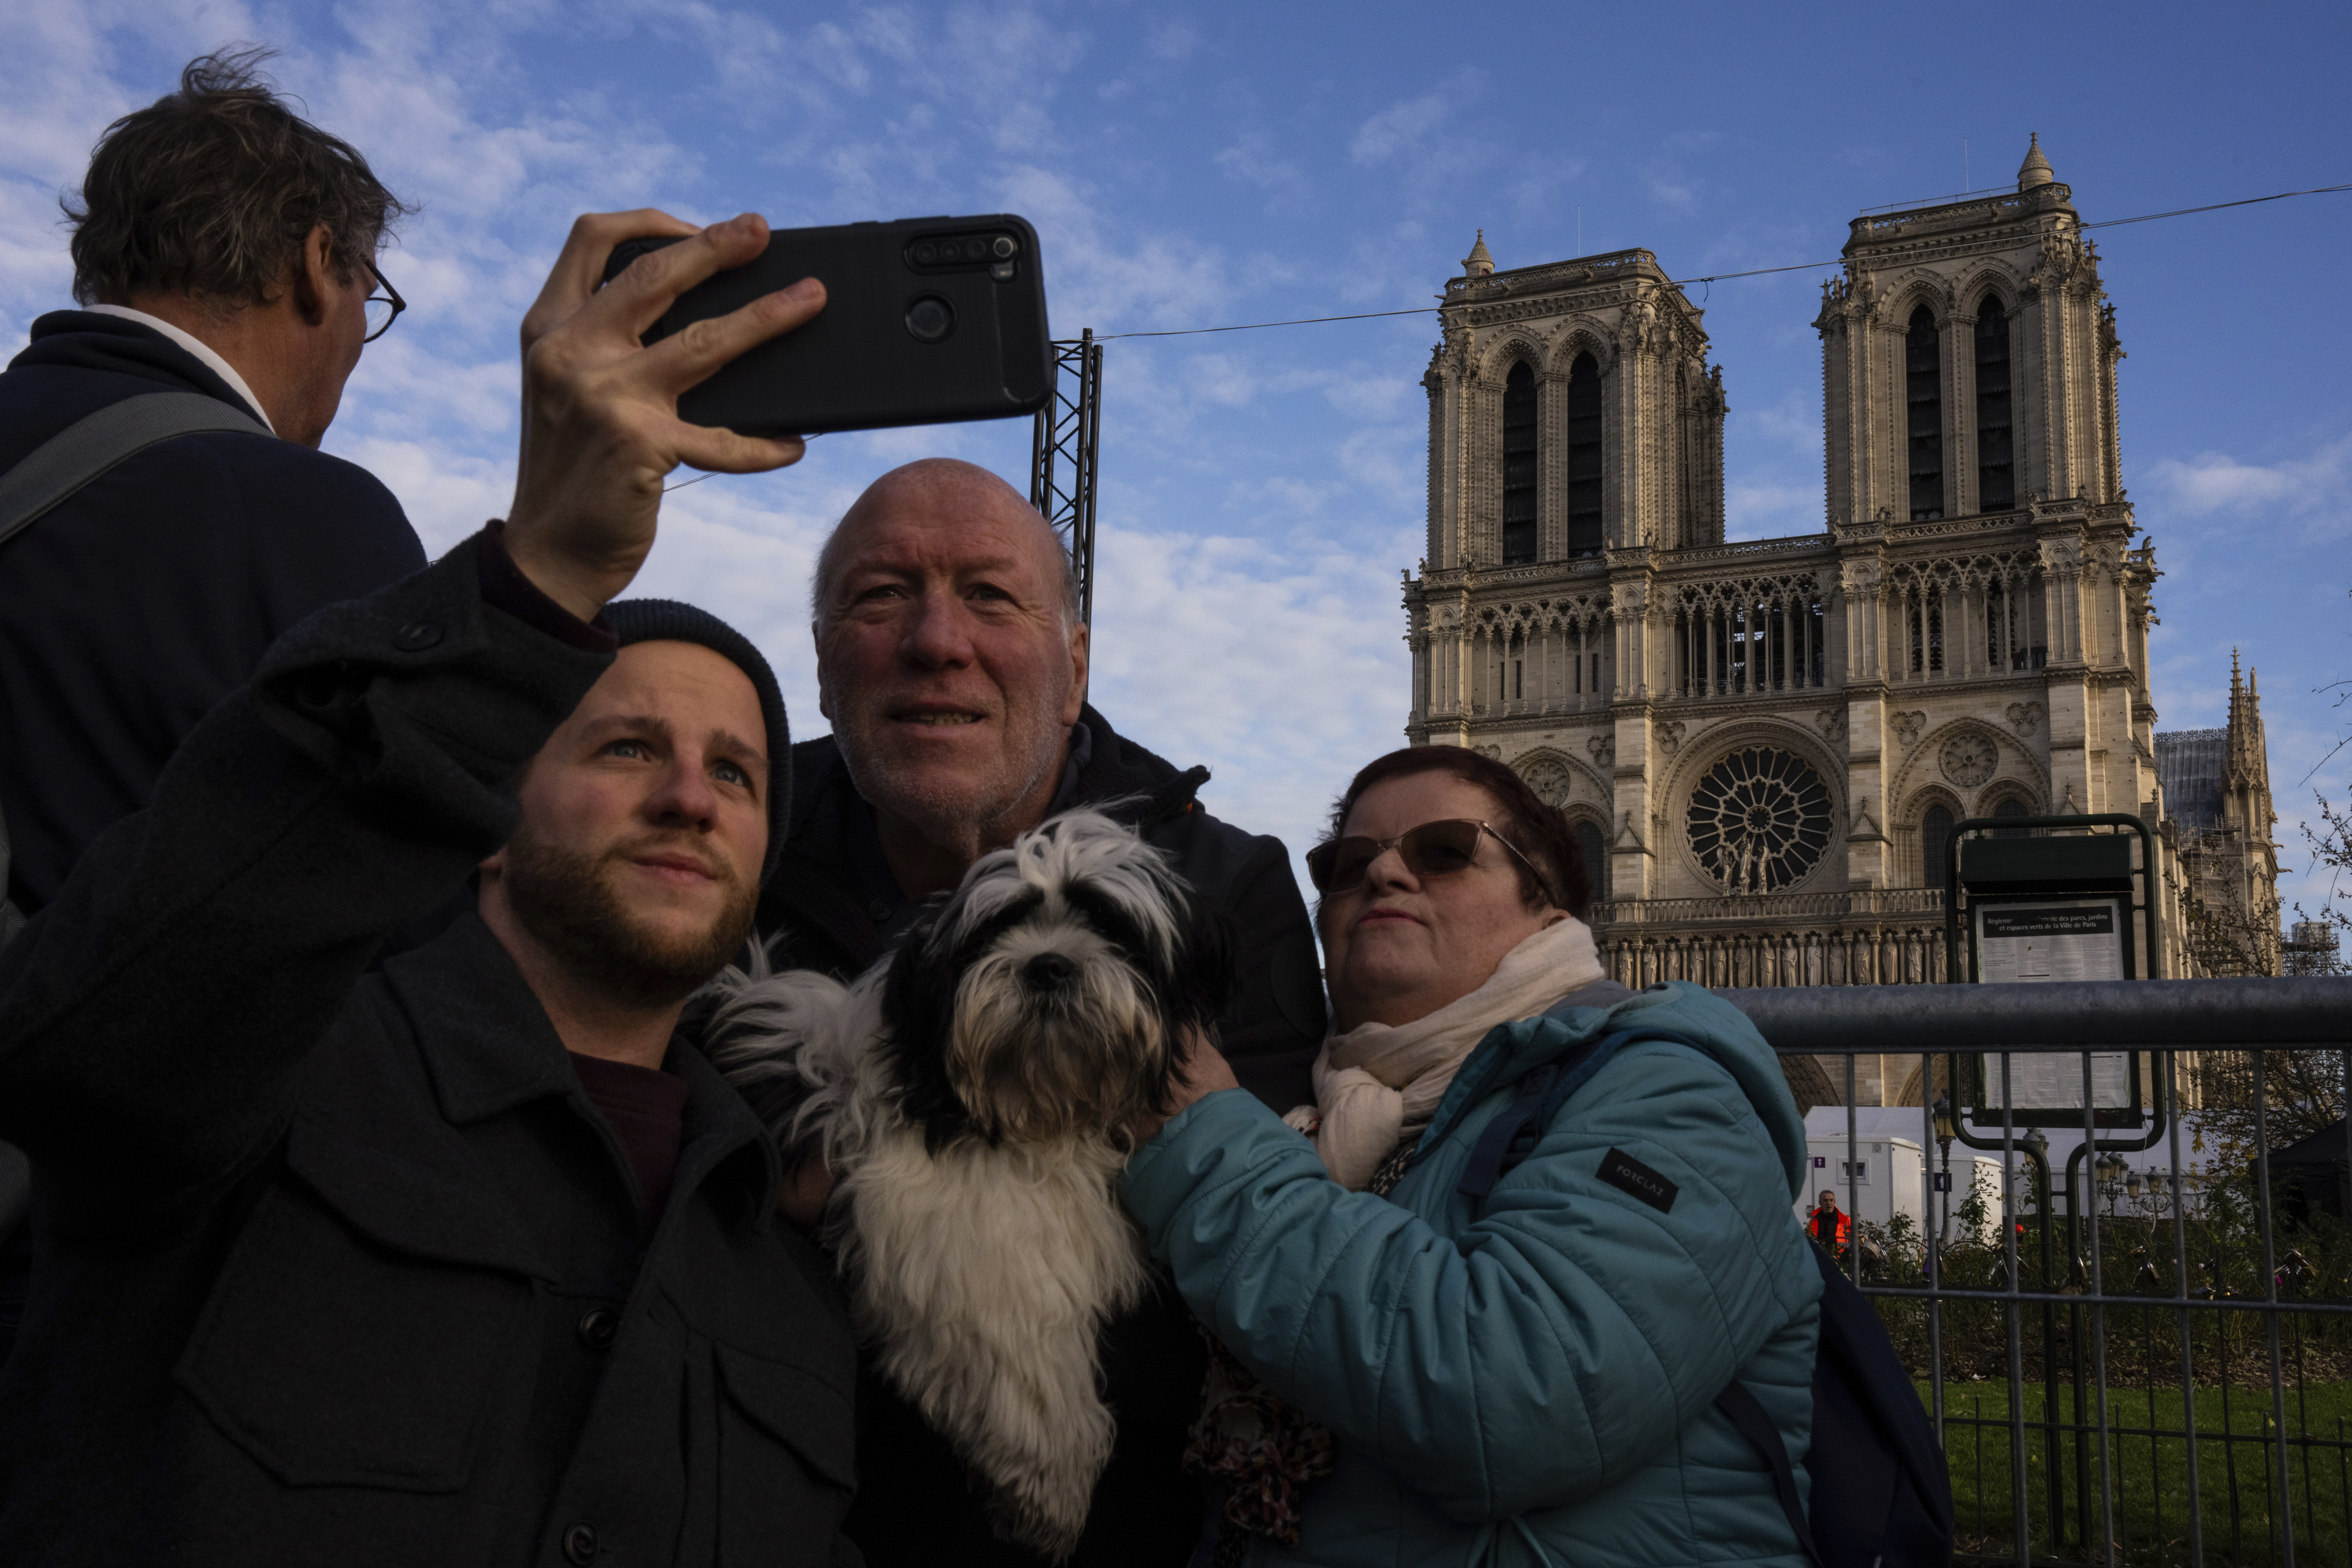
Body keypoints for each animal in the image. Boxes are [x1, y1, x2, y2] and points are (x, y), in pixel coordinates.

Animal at [706, 808, 1242, 1561]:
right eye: (993, 932)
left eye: (1111, 928)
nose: (1048, 965)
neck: (1027, 1108)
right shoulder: (948, 1229)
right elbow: (1020, 1336)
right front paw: (1053, 1485)